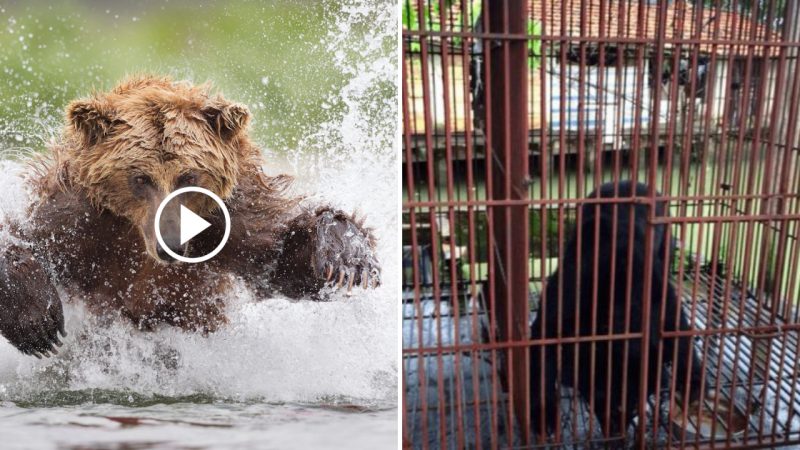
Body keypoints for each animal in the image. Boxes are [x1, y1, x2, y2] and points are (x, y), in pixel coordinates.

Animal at [0, 76, 382, 358]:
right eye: (141, 179)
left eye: (188, 176)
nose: (169, 244)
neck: (134, 233)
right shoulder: (77, 220)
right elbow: (24, 238)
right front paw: (39, 324)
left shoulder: (232, 221)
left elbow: (280, 261)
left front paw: (346, 260)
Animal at [528, 181, 704, 444]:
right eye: (604, 404)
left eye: (635, 408)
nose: (619, 439)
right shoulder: (564, 297)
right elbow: (543, 350)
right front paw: (544, 419)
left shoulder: (662, 297)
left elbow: (679, 332)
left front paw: (693, 386)